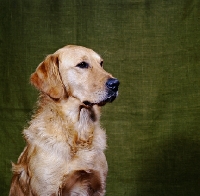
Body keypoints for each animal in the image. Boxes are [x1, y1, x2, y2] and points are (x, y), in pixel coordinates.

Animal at [9, 45, 119, 195]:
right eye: (82, 64)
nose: (116, 84)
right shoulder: (47, 189)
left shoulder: (98, 186)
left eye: (101, 63)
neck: (79, 132)